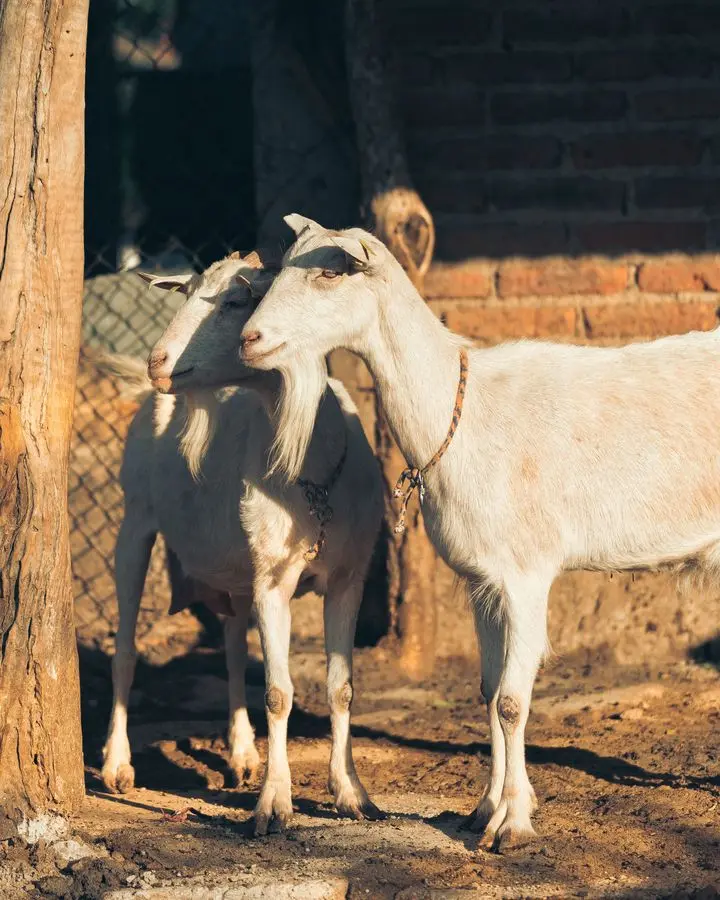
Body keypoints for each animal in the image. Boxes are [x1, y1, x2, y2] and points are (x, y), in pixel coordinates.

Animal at [101, 251, 384, 835]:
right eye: (186, 293)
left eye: (235, 300)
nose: (158, 362)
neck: (312, 474)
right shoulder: (273, 581)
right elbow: (278, 692)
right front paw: (274, 806)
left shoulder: (348, 576)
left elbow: (340, 686)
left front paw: (352, 794)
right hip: (135, 523)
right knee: (126, 650)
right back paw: (118, 766)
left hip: (234, 568)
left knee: (232, 648)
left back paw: (242, 755)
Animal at [239, 214, 720, 850]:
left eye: (330, 272)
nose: (249, 338)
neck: (461, 413)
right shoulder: (481, 582)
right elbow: (490, 694)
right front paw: (485, 810)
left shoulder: (526, 574)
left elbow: (514, 702)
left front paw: (512, 826)